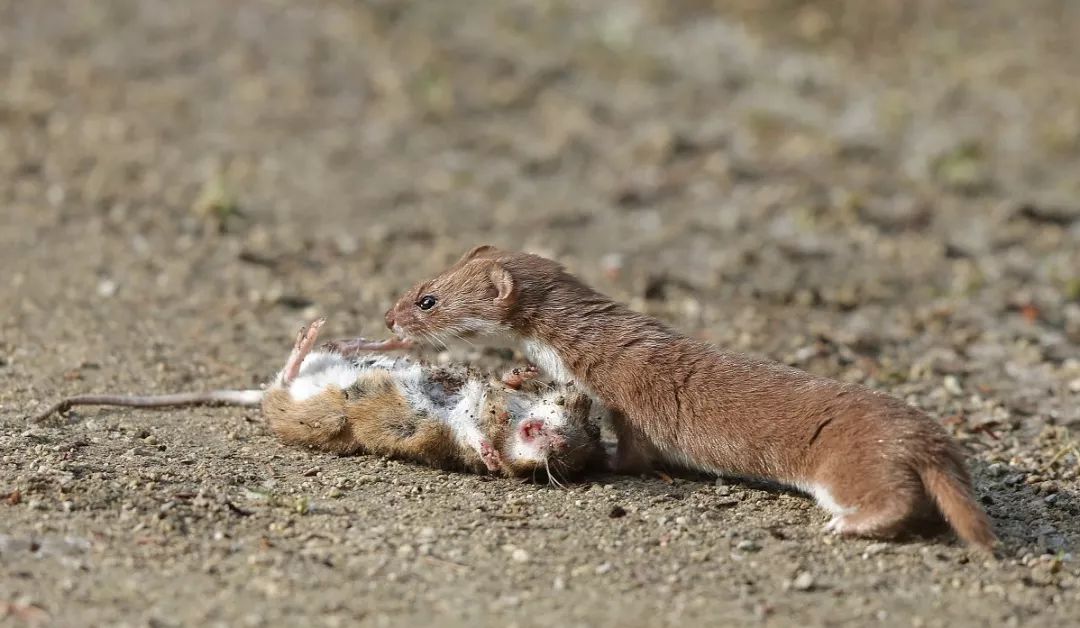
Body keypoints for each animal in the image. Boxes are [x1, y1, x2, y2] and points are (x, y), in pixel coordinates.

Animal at [31, 317, 609, 479]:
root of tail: (260, 398)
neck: (508, 421)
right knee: (322, 356)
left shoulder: (454, 435)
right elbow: (487, 393)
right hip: (321, 379)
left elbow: (475, 443)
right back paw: (340, 335)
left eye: (566, 460)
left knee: (292, 374)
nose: (554, 440)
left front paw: (491, 457)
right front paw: (519, 373)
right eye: (576, 410)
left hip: (311, 404)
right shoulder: (473, 408)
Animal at [384, 245, 997, 549]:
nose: (387, 316)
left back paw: (844, 525)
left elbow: (633, 451)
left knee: (891, 500)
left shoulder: (628, 403)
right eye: (417, 283)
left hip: (851, 462)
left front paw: (608, 460)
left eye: (427, 300)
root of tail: (929, 441)